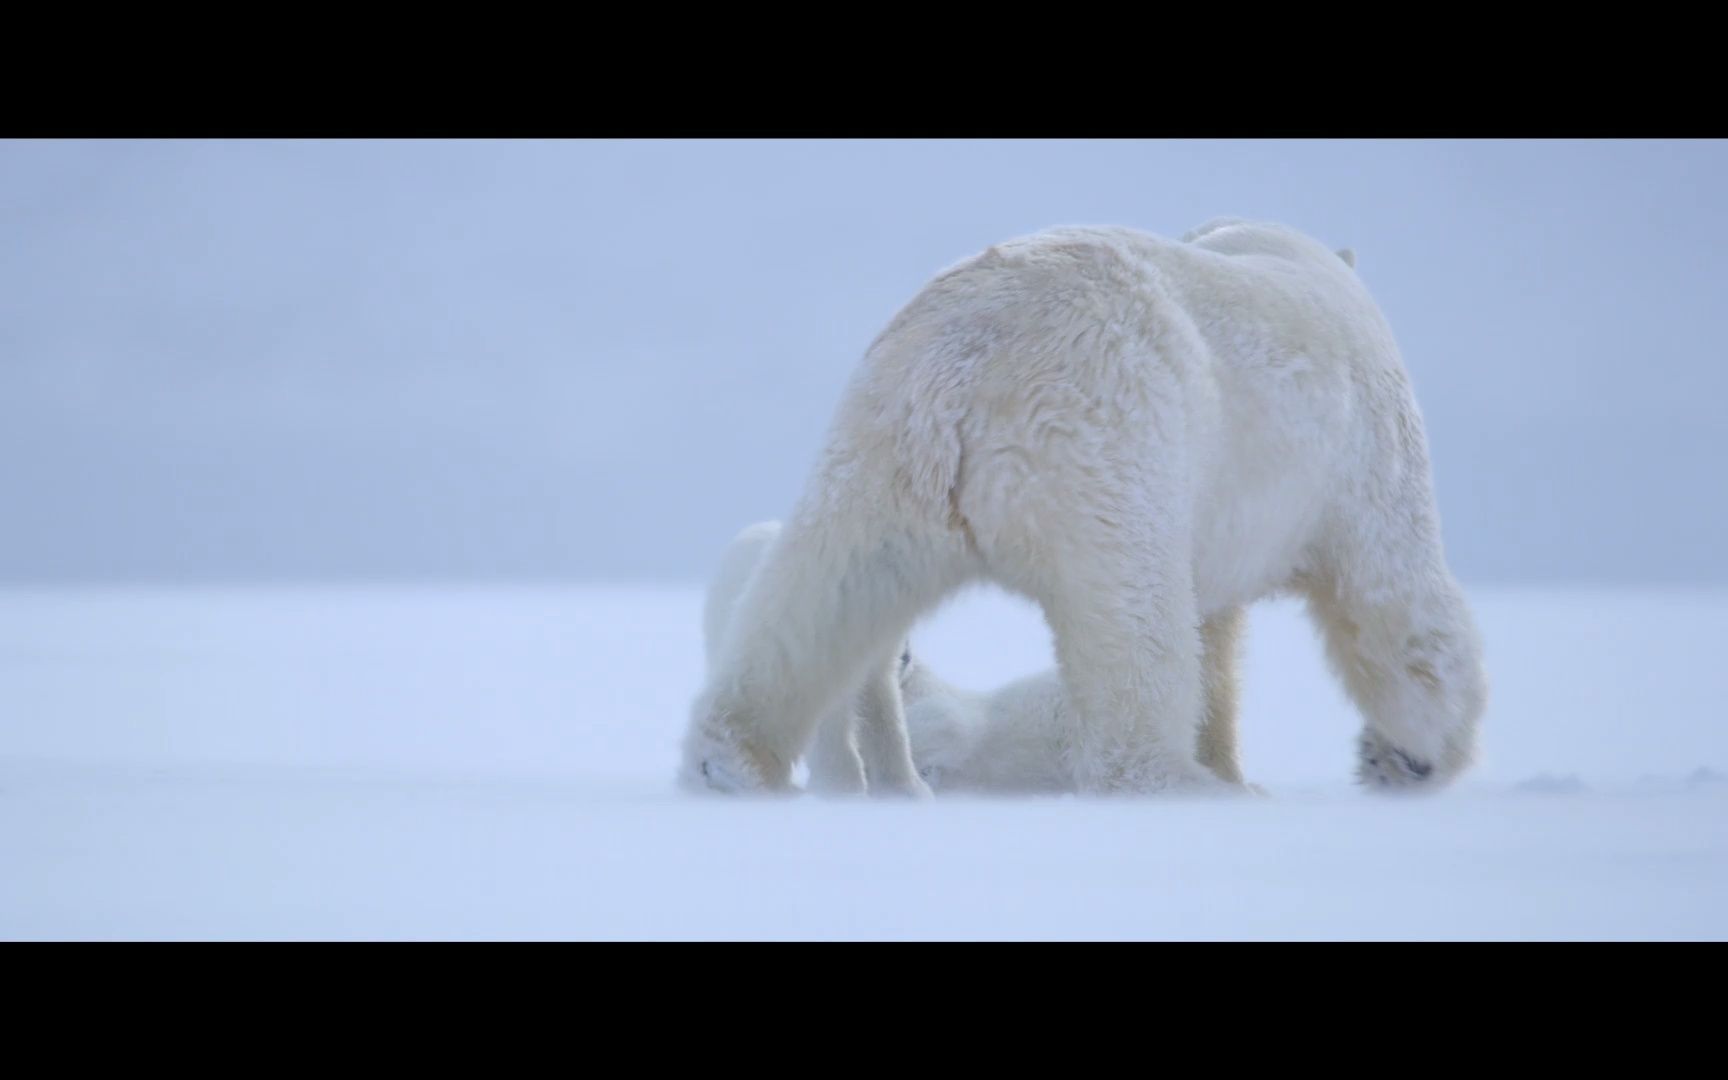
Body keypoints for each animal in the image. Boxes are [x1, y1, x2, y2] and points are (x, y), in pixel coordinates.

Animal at [681, 218, 1487, 797]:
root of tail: (968, 363)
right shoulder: (1362, 449)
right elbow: (1395, 601)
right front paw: (1407, 756)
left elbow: (1218, 635)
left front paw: (1236, 763)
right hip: (1109, 451)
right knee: (1133, 622)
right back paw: (1175, 782)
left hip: (879, 446)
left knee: (823, 591)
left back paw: (731, 761)